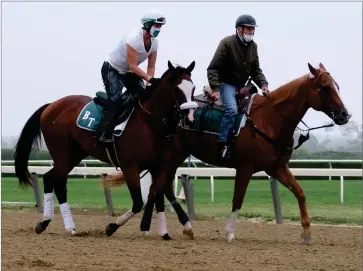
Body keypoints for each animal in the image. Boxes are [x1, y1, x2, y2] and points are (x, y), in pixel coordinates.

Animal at [14, 61, 198, 238]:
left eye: (193, 88)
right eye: (177, 89)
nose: (189, 119)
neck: (148, 122)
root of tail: (50, 105)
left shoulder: (157, 166)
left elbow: (156, 192)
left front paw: (169, 231)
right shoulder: (130, 166)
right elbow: (138, 202)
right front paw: (112, 227)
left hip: (75, 154)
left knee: (51, 178)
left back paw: (51, 224)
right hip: (61, 152)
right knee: (57, 182)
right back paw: (63, 226)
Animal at [106, 63, 352, 244]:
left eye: (337, 86)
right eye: (324, 87)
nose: (344, 114)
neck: (268, 120)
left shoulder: (277, 167)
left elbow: (300, 193)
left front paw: (307, 232)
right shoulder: (245, 167)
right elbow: (238, 199)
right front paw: (230, 232)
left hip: (173, 157)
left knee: (161, 188)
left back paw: (177, 228)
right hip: (170, 156)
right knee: (157, 188)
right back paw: (137, 227)